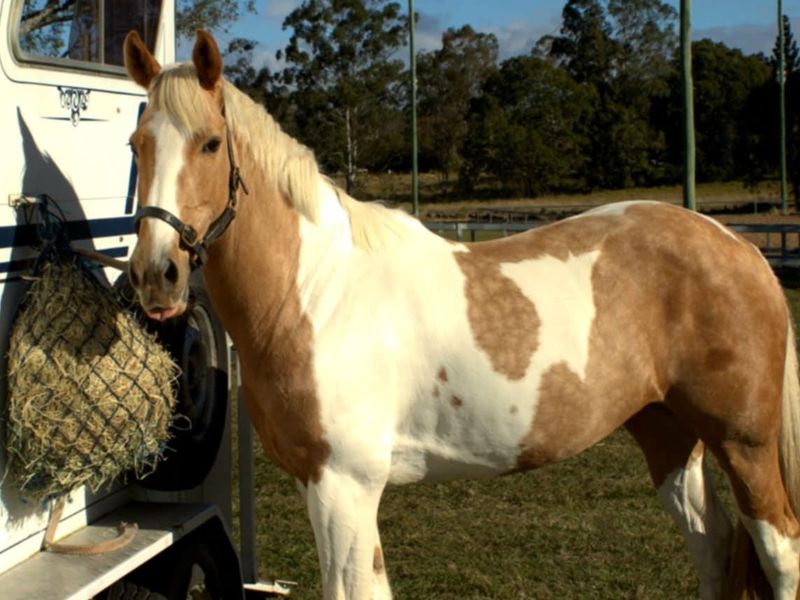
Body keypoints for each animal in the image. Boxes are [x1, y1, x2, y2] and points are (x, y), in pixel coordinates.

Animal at [122, 29, 800, 599]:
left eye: (211, 144)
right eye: (137, 145)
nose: (157, 275)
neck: (316, 292)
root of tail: (739, 247)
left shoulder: (346, 486)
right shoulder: (316, 481)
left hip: (744, 442)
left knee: (779, 552)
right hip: (669, 435)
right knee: (716, 551)